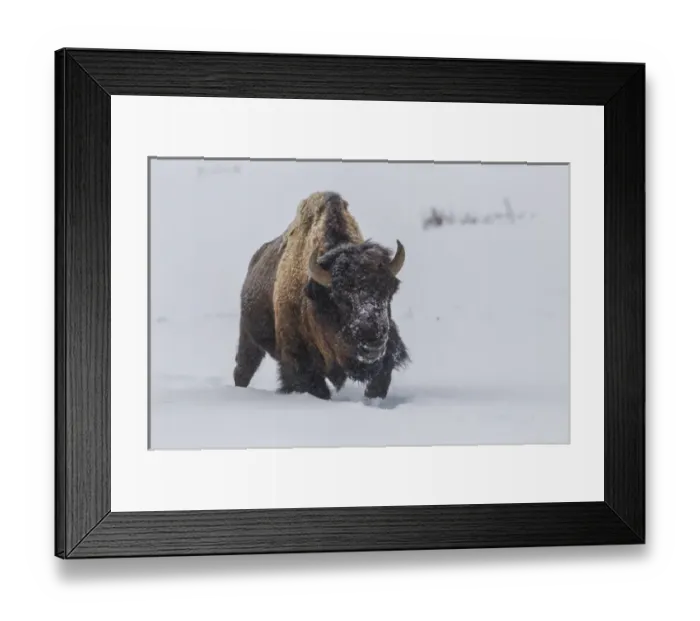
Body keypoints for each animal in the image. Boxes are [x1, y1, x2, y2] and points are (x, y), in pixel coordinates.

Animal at [233, 191, 409, 401]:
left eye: (388, 292)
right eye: (340, 298)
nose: (373, 340)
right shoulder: (299, 360)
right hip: (248, 338)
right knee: (243, 369)